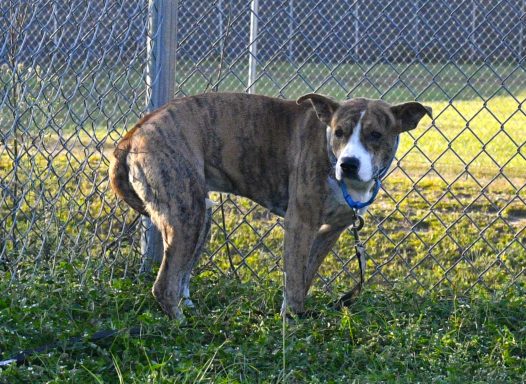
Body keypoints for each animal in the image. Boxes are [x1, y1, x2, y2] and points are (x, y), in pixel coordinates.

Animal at [108, 92, 434, 318]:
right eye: (339, 132)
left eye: (376, 135)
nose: (349, 164)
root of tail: (134, 133)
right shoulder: (300, 223)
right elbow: (294, 281)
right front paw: (293, 323)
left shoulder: (330, 230)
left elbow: (303, 276)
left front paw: (296, 315)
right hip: (187, 214)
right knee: (164, 286)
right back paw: (183, 325)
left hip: (200, 217)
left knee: (180, 276)